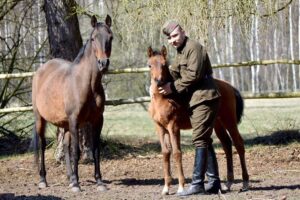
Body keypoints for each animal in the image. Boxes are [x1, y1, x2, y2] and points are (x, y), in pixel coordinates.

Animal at [31, 14, 113, 191]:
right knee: (42, 145)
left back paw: (70, 177)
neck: (87, 84)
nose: (103, 63)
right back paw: (43, 180)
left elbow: (95, 150)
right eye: (93, 38)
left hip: (65, 124)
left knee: (66, 147)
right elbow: (76, 151)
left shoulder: (98, 120)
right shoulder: (75, 120)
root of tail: (40, 71)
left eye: (110, 37)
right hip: (40, 119)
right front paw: (76, 184)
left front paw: (99, 181)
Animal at [147, 46, 248, 195]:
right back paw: (228, 183)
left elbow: (177, 153)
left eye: (164, 65)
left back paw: (245, 183)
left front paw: (181, 187)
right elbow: (165, 153)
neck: (163, 98)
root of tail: (230, 87)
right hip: (217, 124)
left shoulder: (173, 127)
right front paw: (166, 188)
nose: (158, 81)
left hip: (229, 120)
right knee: (226, 145)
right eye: (150, 65)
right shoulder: (160, 128)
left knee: (238, 144)